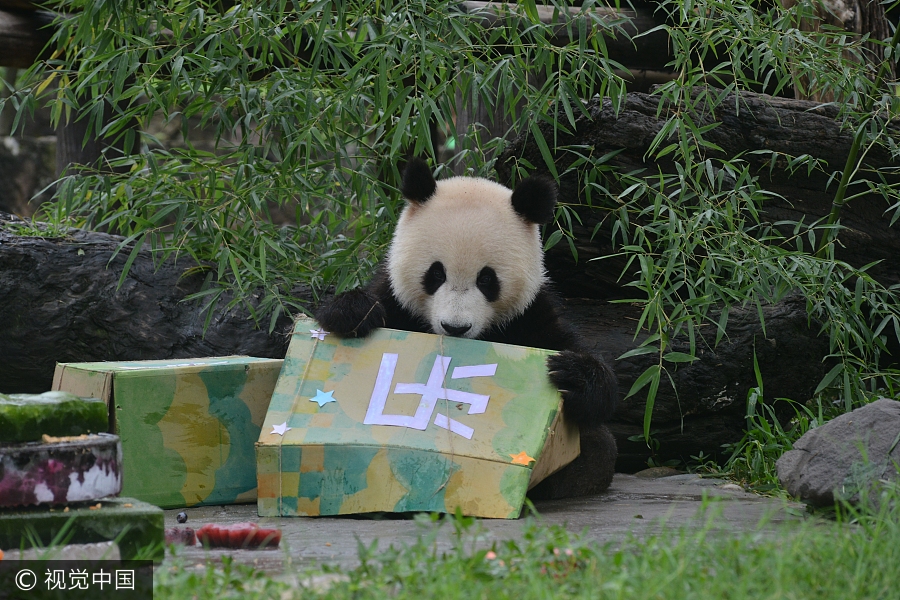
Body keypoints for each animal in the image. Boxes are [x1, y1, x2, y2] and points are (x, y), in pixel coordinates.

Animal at [316, 158, 619, 498]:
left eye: (487, 279)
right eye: (436, 274)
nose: (455, 327)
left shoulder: (529, 316)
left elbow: (589, 377)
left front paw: (574, 374)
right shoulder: (396, 300)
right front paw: (353, 314)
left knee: (597, 448)